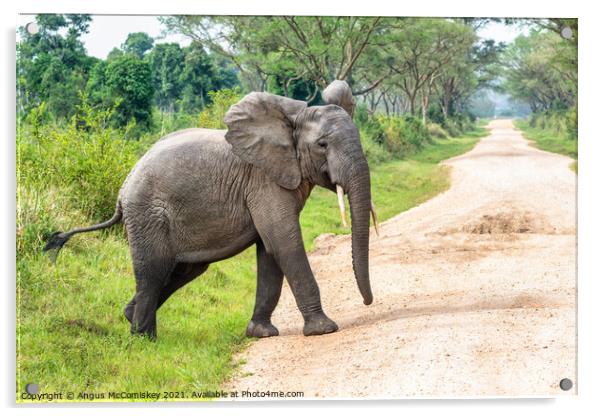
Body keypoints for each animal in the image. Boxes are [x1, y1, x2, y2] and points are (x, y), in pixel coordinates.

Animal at [44, 79, 376, 340]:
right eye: (322, 145)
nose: (367, 303)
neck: (289, 122)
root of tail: (121, 191)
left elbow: (270, 249)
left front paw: (261, 334)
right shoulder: (264, 182)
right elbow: (284, 241)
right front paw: (324, 330)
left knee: (183, 269)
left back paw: (130, 316)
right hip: (147, 213)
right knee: (154, 269)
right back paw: (144, 339)